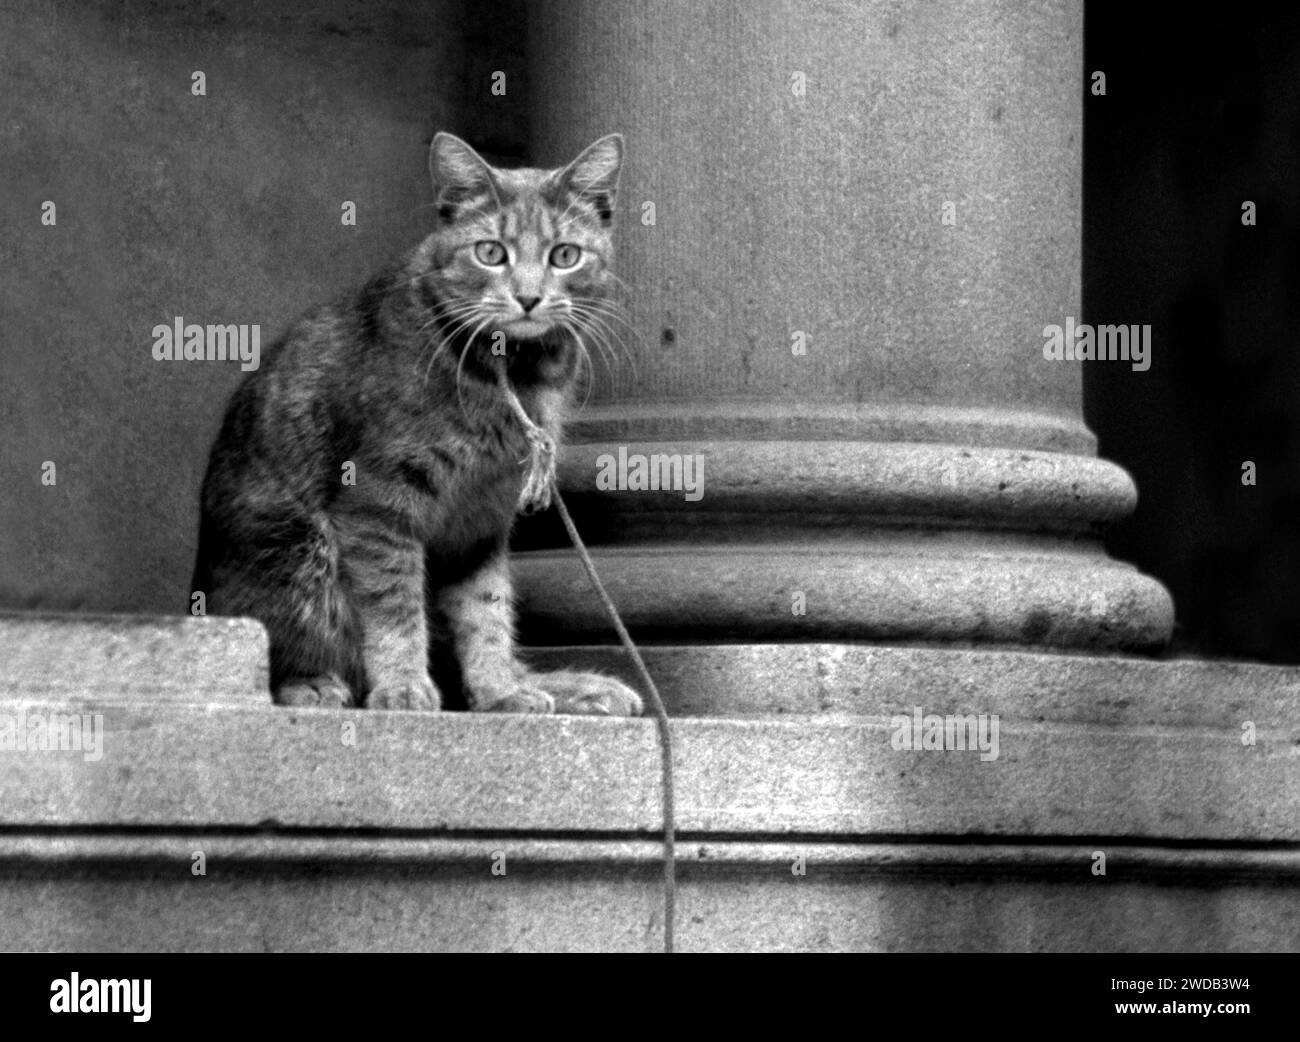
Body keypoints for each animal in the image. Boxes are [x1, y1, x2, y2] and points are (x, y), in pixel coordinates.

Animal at [189, 131, 644, 717]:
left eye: (564, 255)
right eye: (490, 252)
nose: (527, 297)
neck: (512, 376)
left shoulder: (482, 519)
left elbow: (486, 612)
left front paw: (501, 690)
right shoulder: (378, 503)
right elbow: (393, 608)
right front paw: (403, 686)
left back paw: (573, 687)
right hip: (293, 550)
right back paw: (312, 685)